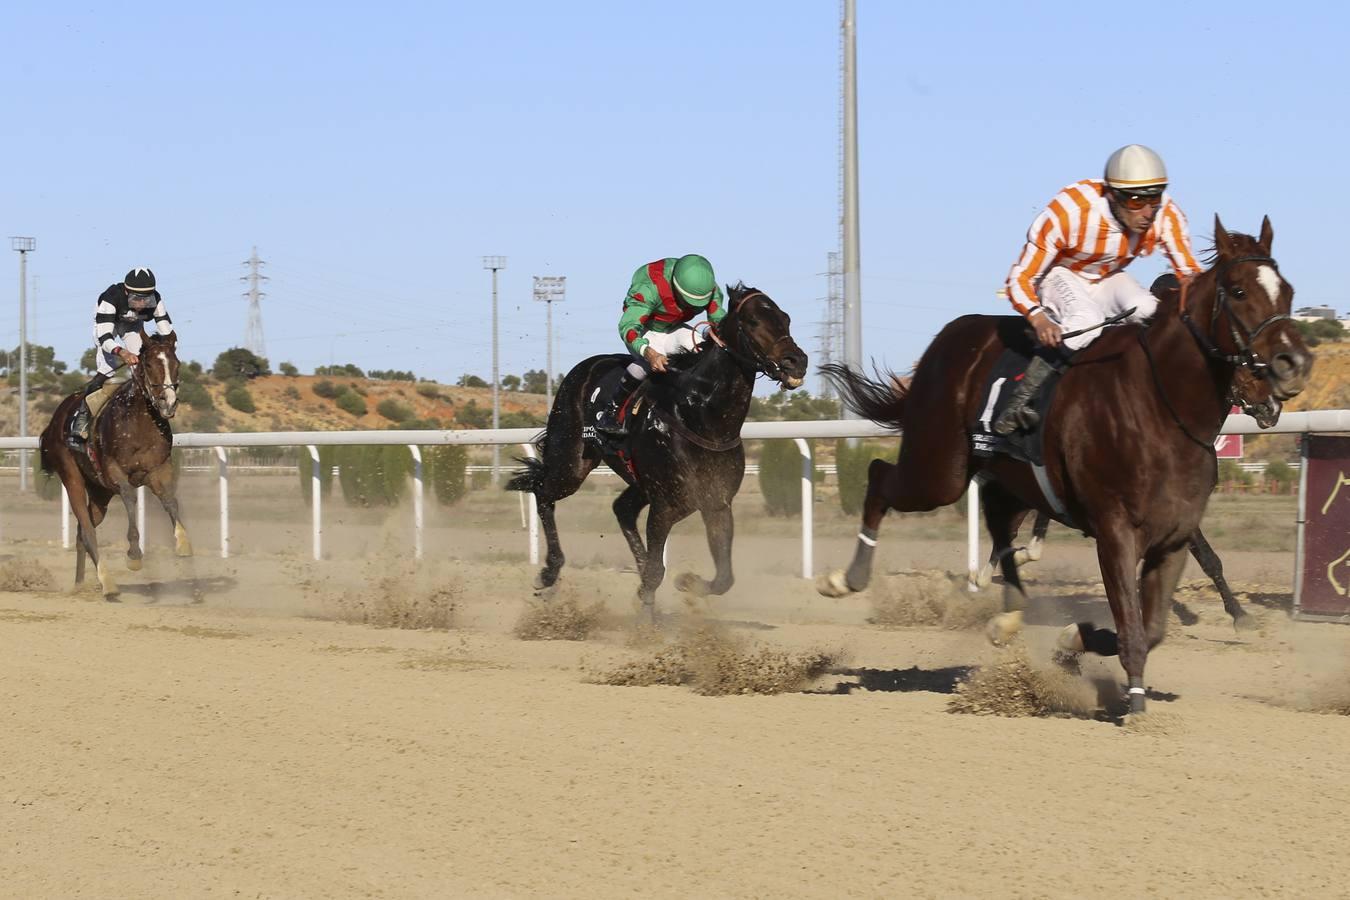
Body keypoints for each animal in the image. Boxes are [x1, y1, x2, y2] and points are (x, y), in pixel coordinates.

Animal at [38, 330, 191, 599]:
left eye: (176, 364)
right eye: (149, 365)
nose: (168, 403)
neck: (139, 422)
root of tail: (54, 421)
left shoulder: (158, 469)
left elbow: (170, 500)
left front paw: (182, 542)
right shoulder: (114, 472)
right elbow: (130, 498)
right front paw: (134, 554)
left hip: (100, 493)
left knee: (82, 532)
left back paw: (80, 584)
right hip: (72, 477)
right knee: (88, 531)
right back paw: (107, 582)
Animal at [504, 284, 799, 615]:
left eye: (786, 319)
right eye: (753, 322)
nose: (797, 361)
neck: (701, 417)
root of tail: (585, 367)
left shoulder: (717, 503)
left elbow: (723, 577)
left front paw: (686, 583)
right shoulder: (665, 506)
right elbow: (657, 571)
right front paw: (648, 611)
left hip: (637, 481)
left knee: (622, 509)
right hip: (571, 463)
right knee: (543, 492)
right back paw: (549, 571)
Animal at [815, 218, 1312, 712]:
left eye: (1287, 291)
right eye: (1240, 291)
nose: (1294, 364)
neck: (1160, 405)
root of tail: (950, 335)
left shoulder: (1174, 532)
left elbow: (1154, 624)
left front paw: (1075, 638)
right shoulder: (1115, 531)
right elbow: (1138, 617)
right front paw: (1136, 704)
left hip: (1007, 478)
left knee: (997, 520)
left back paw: (1008, 613)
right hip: (939, 470)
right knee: (880, 475)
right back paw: (846, 578)